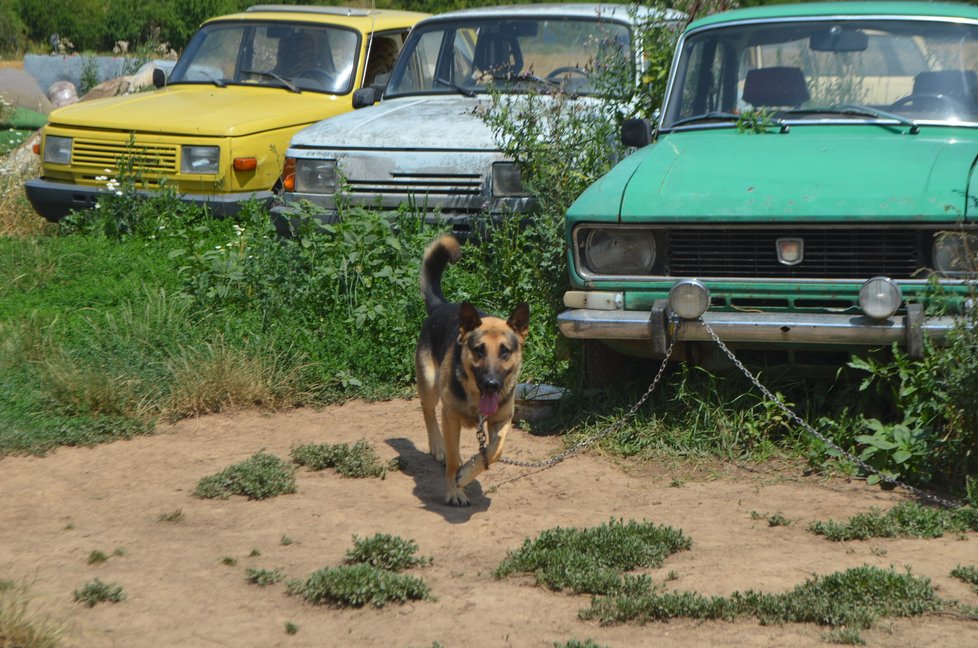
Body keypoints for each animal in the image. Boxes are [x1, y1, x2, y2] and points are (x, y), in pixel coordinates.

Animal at [416, 234, 528, 506]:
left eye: (505, 351)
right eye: (479, 350)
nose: (491, 384)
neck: (476, 398)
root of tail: (441, 305)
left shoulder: (501, 420)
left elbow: (494, 450)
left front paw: (467, 473)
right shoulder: (450, 417)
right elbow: (453, 460)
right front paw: (455, 491)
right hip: (430, 383)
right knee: (428, 410)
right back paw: (438, 446)